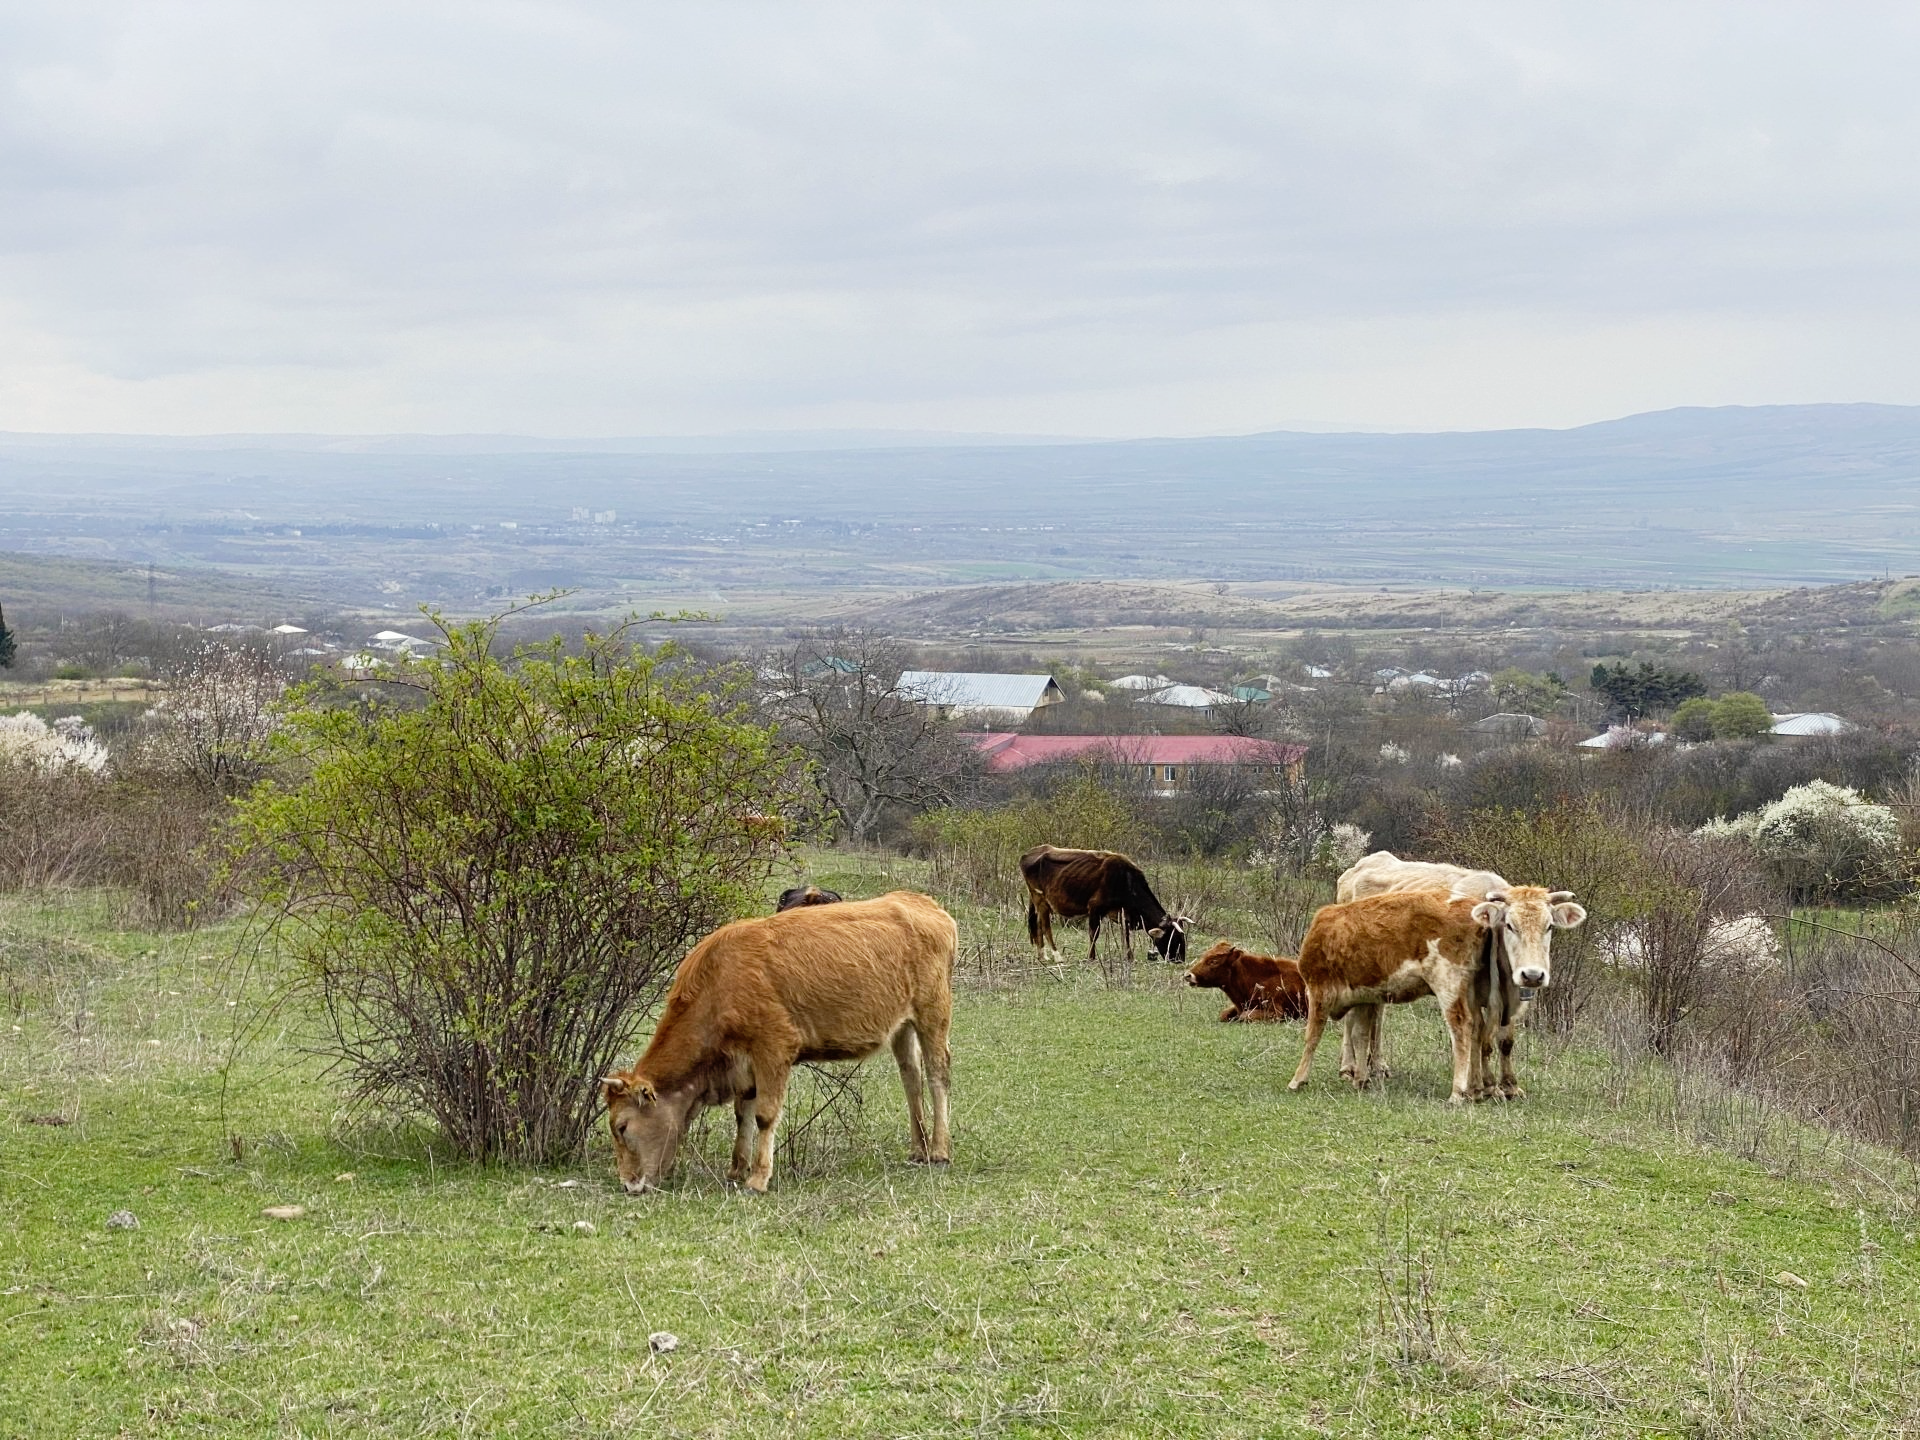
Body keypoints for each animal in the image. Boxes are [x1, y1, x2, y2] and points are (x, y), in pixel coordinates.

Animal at [601, 891, 955, 1194]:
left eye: (622, 1127)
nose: (628, 1183)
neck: (718, 983)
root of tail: (920, 902)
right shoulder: (743, 1063)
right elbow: (743, 1113)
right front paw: (736, 1169)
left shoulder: (773, 1048)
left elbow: (765, 1114)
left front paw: (758, 1178)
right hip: (902, 1027)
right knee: (911, 1079)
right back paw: (918, 1149)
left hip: (933, 1014)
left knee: (937, 1075)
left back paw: (939, 1150)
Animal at [1019, 845, 1189, 966]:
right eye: (1173, 938)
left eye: (1181, 937)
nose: (1180, 959)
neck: (1126, 880)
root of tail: (1031, 852)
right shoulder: (1095, 908)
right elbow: (1094, 933)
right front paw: (1091, 957)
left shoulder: (1122, 912)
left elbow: (1125, 934)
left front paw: (1129, 957)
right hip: (1040, 898)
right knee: (1045, 926)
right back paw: (1057, 956)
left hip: (1037, 900)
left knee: (1037, 925)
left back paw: (1042, 956)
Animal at [1287, 886, 1585, 1103]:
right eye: (1511, 925)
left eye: (1549, 926)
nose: (1533, 974)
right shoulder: (1365, 997)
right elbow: (1361, 1035)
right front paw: (1360, 1079)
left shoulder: (1319, 990)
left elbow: (1312, 1035)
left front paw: (1298, 1079)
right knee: (1478, 1031)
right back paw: (1477, 1089)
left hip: (1449, 984)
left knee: (1462, 1028)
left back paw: (1458, 1092)